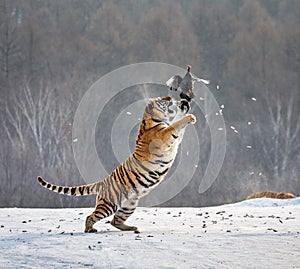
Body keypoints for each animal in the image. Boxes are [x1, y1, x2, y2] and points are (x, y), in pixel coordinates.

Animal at [37, 96, 196, 232]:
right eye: (163, 99)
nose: (172, 98)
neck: (154, 118)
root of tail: (102, 182)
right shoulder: (165, 136)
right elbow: (175, 124)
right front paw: (190, 116)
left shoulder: (175, 139)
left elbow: (178, 124)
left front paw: (185, 107)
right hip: (109, 204)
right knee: (91, 216)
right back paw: (90, 229)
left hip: (129, 205)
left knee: (115, 221)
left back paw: (131, 228)